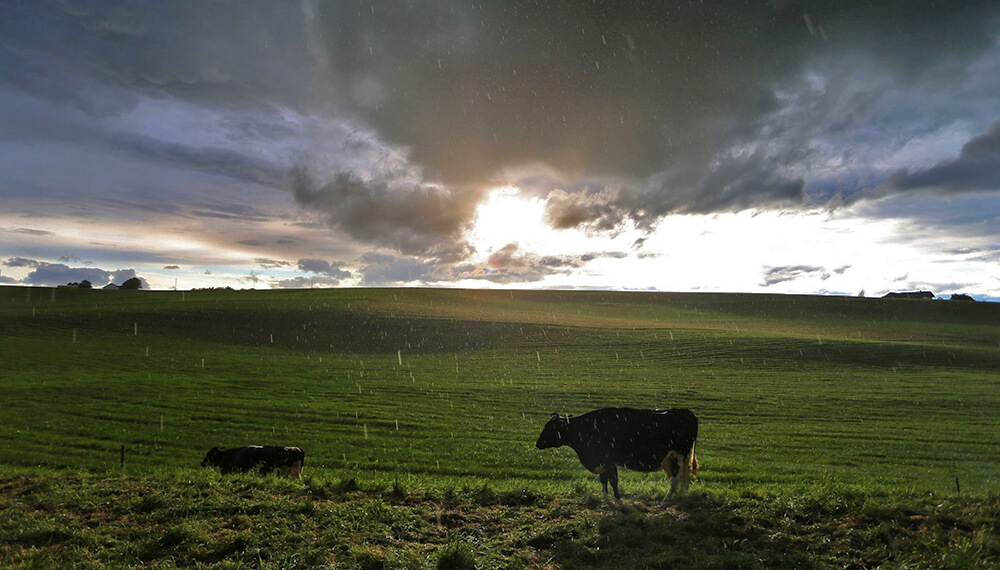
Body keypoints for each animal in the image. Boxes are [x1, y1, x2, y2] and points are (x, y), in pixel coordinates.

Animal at [536, 406, 700, 494]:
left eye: (550, 428)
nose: (537, 444)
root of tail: (688, 413)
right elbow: (605, 481)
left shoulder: (608, 460)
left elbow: (613, 481)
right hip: (673, 459)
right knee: (682, 477)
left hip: (679, 456)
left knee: (678, 477)